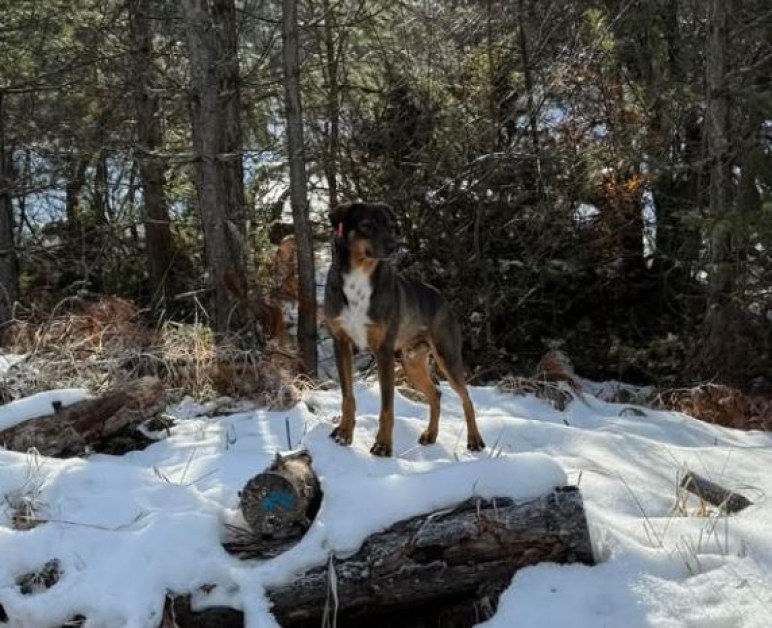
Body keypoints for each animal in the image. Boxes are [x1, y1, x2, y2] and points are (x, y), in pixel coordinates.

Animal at [322, 201, 486, 456]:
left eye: (392, 226)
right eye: (367, 224)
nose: (394, 247)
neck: (359, 275)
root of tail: (442, 299)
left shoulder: (384, 351)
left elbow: (387, 407)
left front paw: (383, 445)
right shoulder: (341, 343)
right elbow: (347, 397)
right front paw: (344, 434)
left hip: (446, 356)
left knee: (466, 398)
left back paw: (475, 440)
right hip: (412, 362)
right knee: (436, 394)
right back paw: (430, 435)